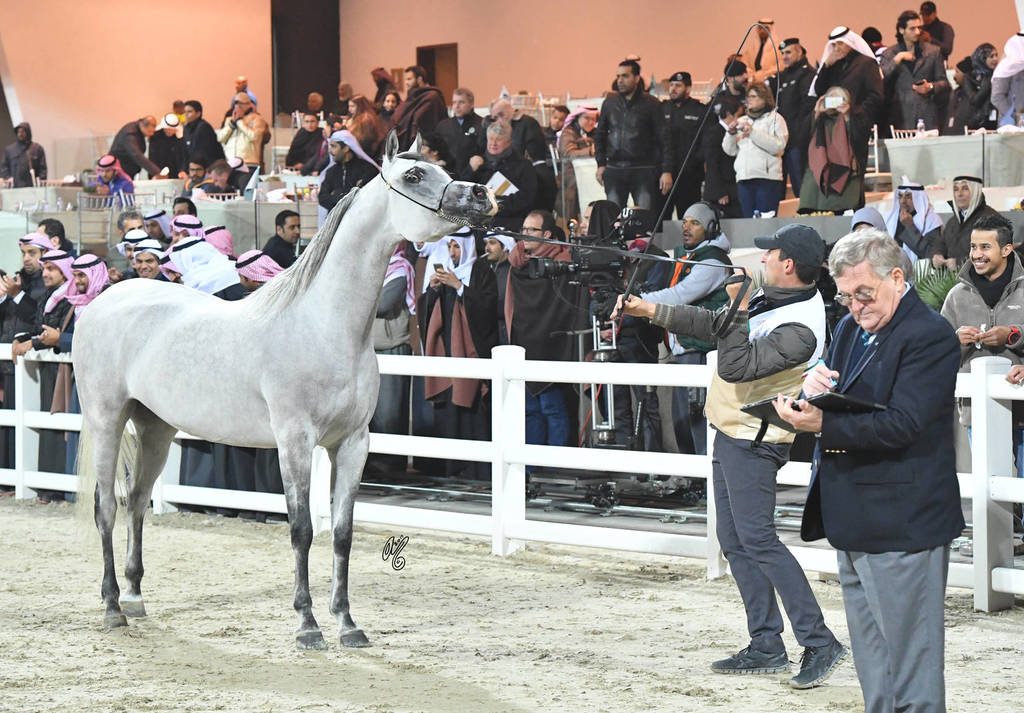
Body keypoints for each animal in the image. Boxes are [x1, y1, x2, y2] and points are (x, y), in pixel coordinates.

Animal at [72, 131, 497, 649]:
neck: (322, 325)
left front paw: (348, 624)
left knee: (136, 501)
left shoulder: (353, 443)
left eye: (443, 168)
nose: (480, 194)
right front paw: (308, 625)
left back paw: (134, 599)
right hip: (107, 420)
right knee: (107, 507)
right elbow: (301, 530)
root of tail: (102, 301)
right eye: (414, 175)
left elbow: (342, 532)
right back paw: (113, 607)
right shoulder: (294, 441)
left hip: (156, 428)